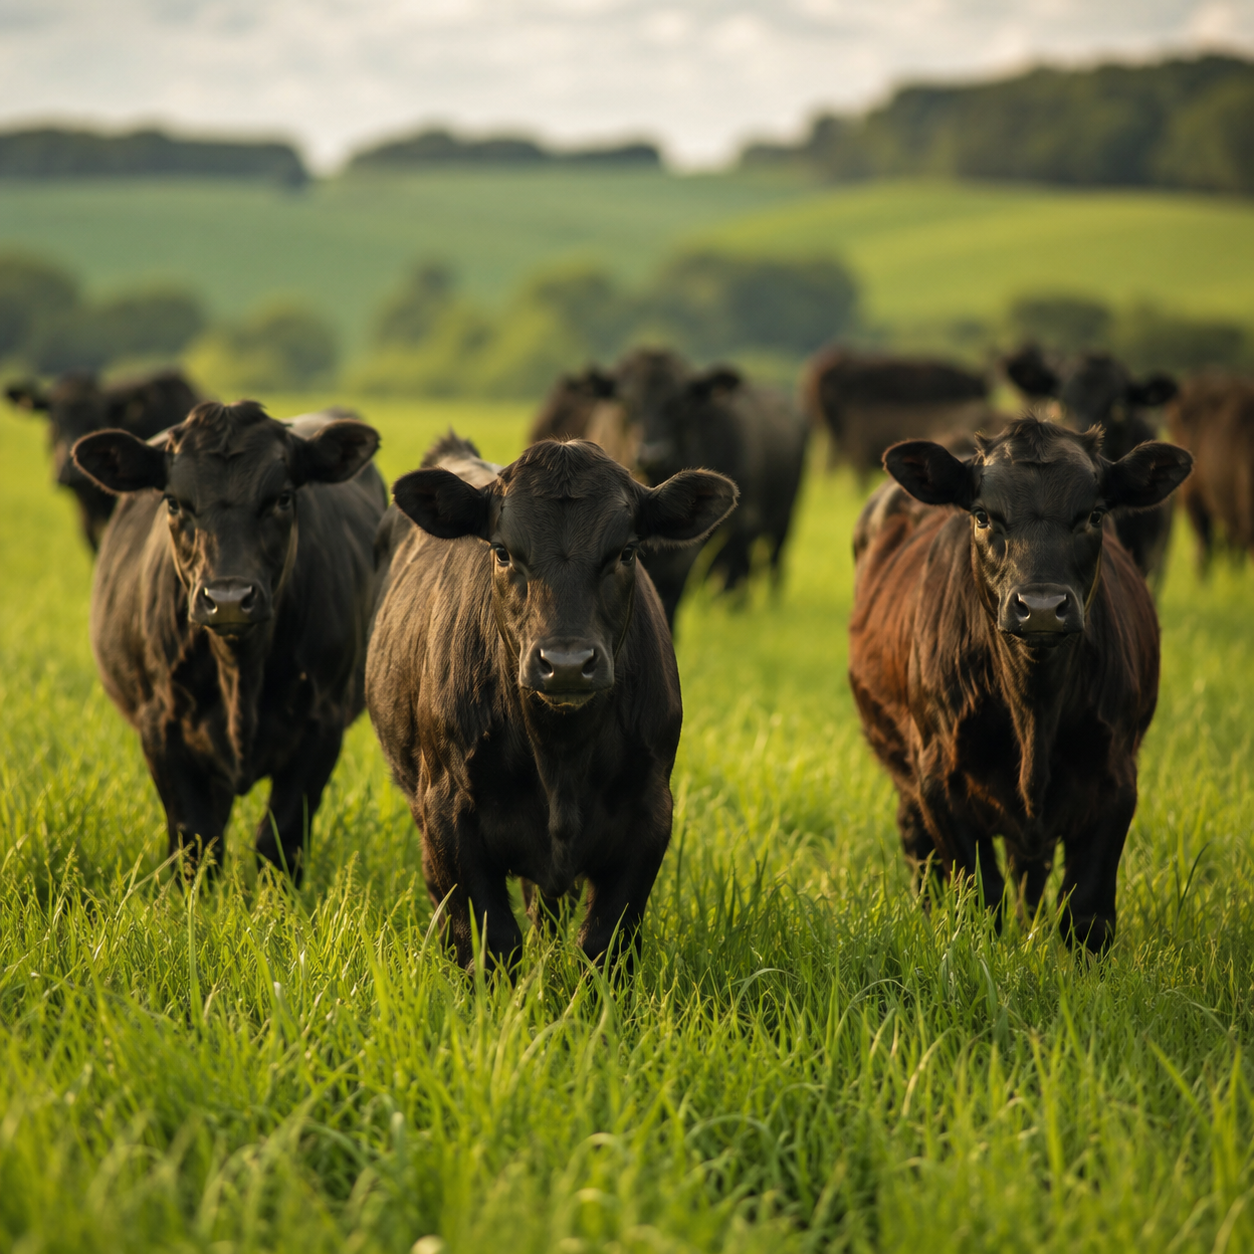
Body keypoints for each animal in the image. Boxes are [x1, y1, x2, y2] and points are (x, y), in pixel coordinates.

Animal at [71, 400, 385, 881]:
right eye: (174, 502)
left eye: (283, 498)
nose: (229, 599)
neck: (240, 671)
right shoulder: (161, 725)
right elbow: (195, 839)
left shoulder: (322, 725)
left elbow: (280, 838)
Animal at [367, 433, 737, 973]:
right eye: (502, 552)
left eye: (627, 552)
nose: (565, 663)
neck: (560, 754)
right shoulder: (448, 813)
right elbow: (492, 941)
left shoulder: (650, 814)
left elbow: (603, 944)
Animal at [596, 347, 808, 629]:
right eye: (626, 403)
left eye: (679, 403)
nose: (653, 454)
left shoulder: (733, 531)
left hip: (783, 519)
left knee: (772, 561)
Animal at [848, 417, 1192, 953]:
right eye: (983, 516)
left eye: (1094, 515)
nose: (1043, 607)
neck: (1035, 707)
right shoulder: (939, 779)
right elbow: (979, 901)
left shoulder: (1116, 779)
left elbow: (1087, 914)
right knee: (920, 852)